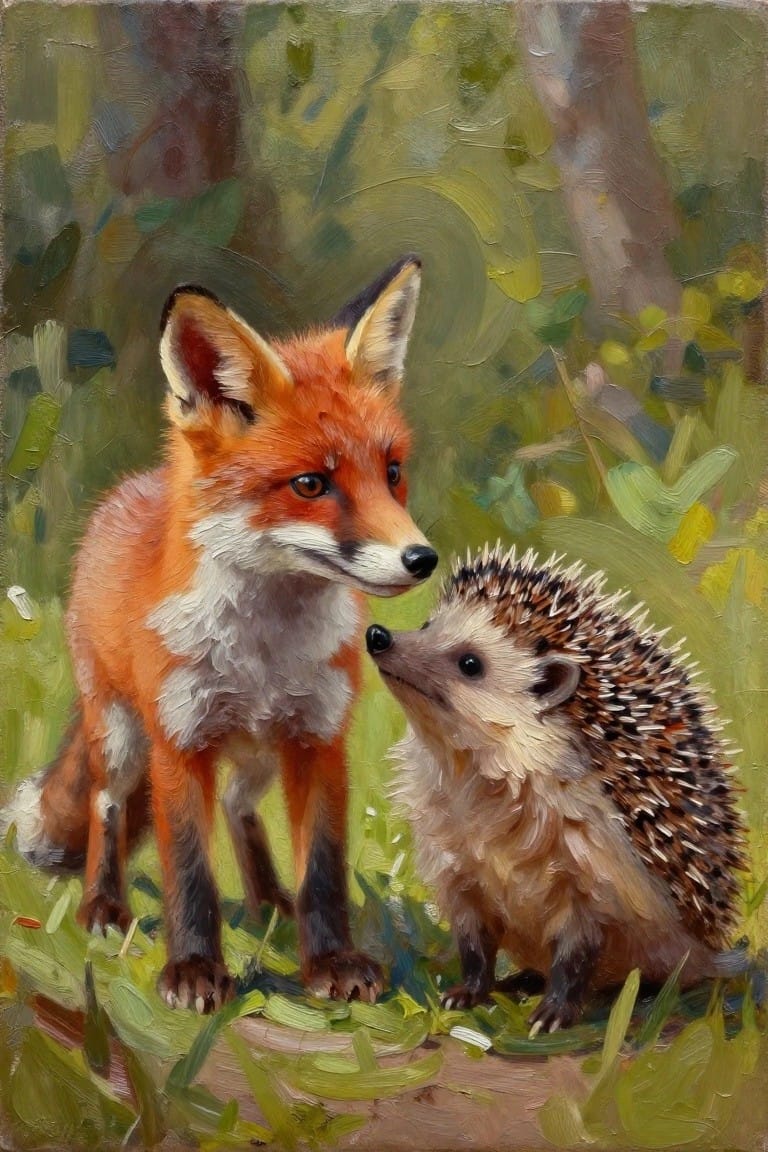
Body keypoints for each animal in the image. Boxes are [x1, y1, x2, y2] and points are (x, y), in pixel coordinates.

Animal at [1, 256, 437, 1013]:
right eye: (311, 484)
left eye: (391, 473)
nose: (422, 559)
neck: (262, 653)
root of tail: (124, 493)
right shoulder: (181, 743)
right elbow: (189, 871)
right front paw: (194, 970)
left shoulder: (319, 738)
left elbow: (323, 867)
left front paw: (330, 960)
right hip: (121, 734)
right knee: (107, 808)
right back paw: (103, 908)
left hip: (260, 752)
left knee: (239, 807)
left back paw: (270, 905)